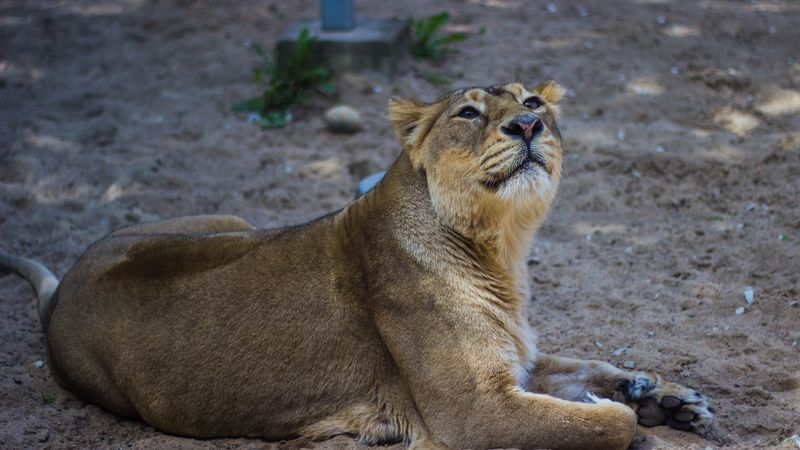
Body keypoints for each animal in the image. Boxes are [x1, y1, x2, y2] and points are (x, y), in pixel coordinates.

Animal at [1, 81, 714, 449]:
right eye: (469, 112)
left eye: (533, 100)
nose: (529, 125)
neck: (501, 252)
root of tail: (63, 291)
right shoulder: (474, 413)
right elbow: (603, 421)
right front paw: (639, 425)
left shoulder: (514, 364)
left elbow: (583, 367)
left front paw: (667, 399)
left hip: (231, 222)